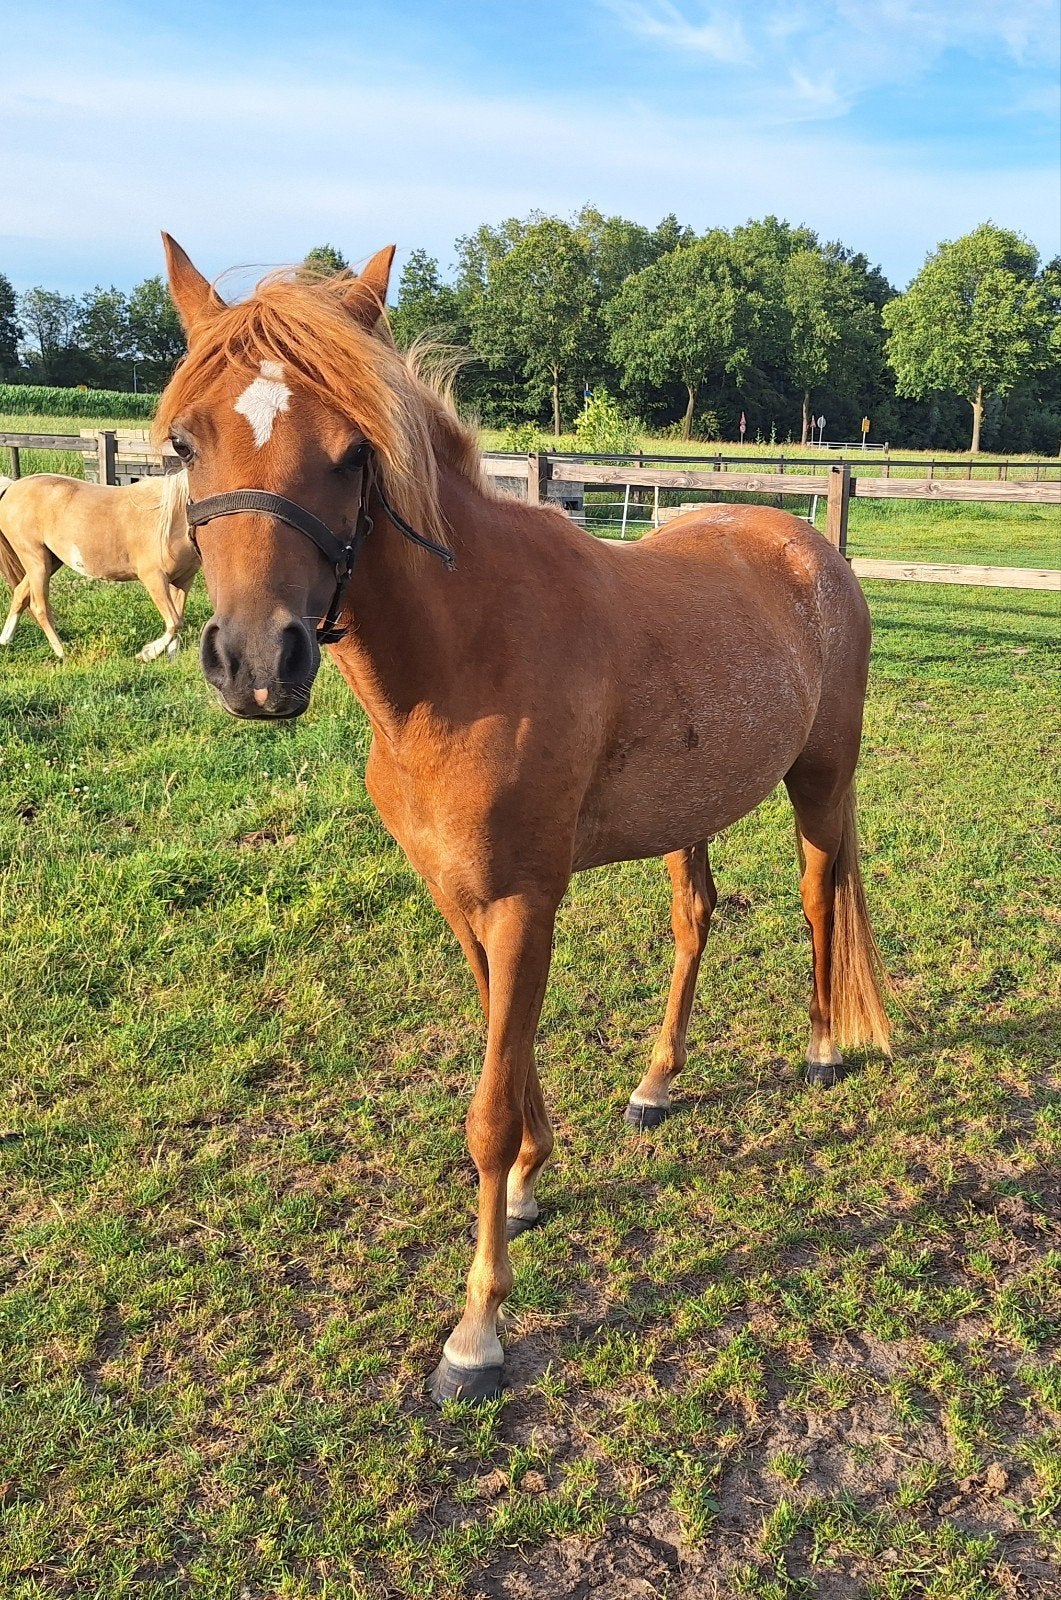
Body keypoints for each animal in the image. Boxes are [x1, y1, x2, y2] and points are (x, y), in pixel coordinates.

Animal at [0, 468, 197, 661]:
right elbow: (174, 622)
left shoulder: (183, 582)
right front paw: (147, 653)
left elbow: (178, 620)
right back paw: (62, 652)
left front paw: (171, 659)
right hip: (36, 561)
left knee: (20, 594)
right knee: (39, 608)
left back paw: (5, 640)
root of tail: (12, 487)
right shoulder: (154, 578)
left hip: (50, 563)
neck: (172, 518)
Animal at [155, 233, 892, 1405]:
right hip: (691, 813)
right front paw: (532, 1185)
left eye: (353, 453)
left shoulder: (521, 901)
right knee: (696, 917)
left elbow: (489, 1109)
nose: (257, 663)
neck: (462, 660)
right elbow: (513, 1056)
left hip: (818, 782)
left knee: (820, 900)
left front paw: (476, 1331)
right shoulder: (464, 901)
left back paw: (822, 1050)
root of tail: (806, 545)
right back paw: (655, 1084)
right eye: (187, 442)